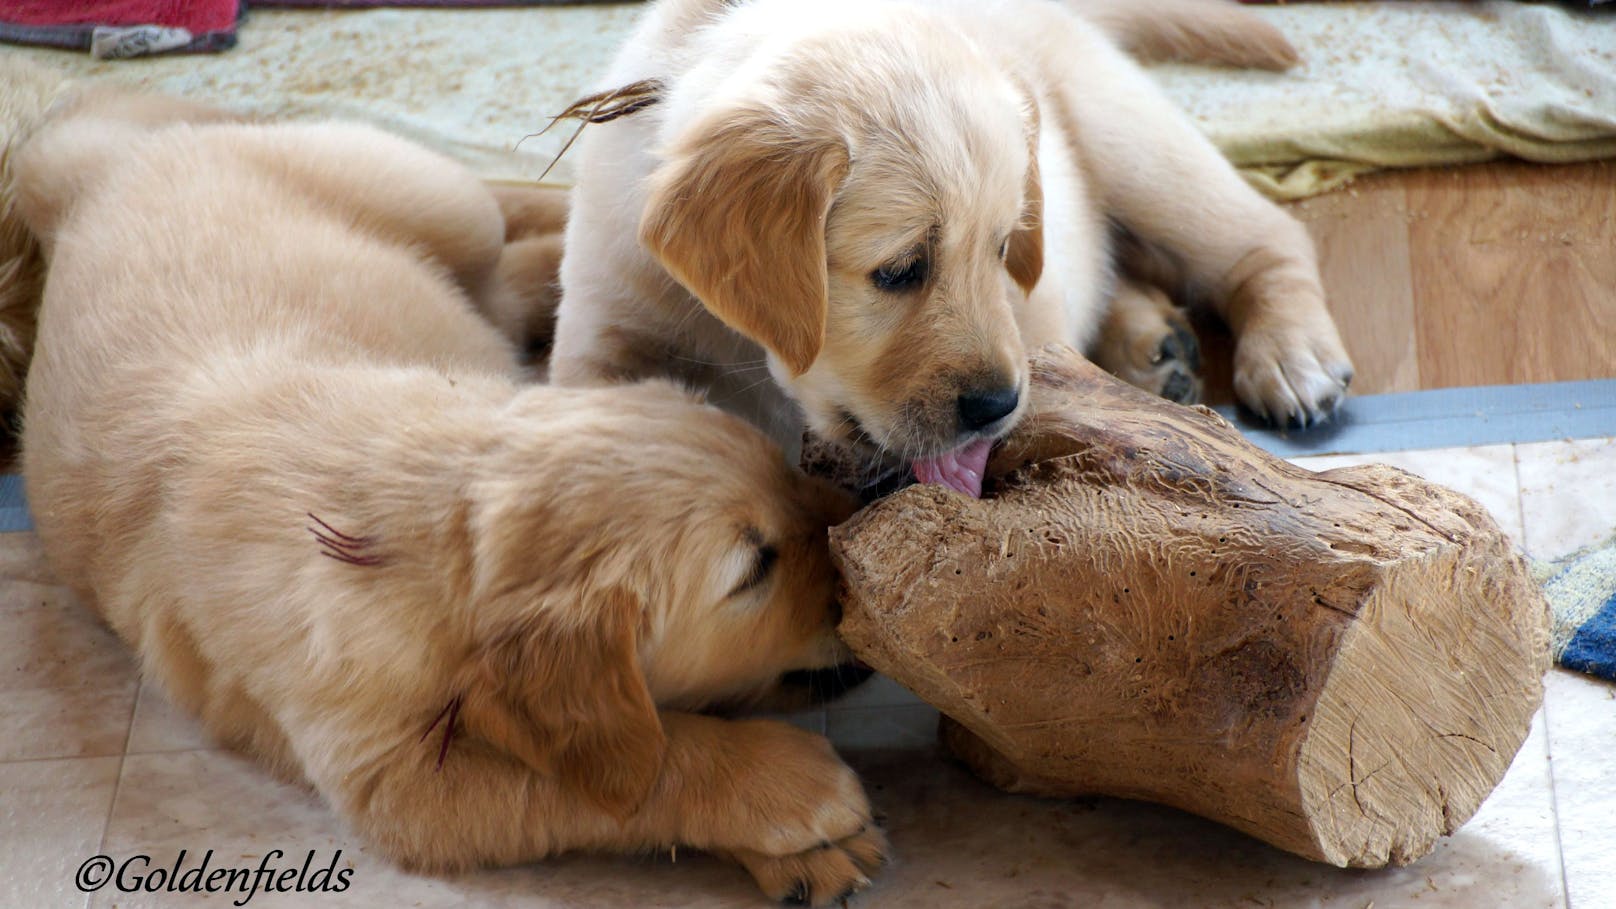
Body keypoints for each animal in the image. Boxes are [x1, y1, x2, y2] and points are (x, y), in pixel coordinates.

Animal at [15, 90, 885, 899]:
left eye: (781, 467)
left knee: (501, 210)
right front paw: (793, 798)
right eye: (754, 567)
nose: (861, 532)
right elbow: (627, 769)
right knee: (509, 276)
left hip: (430, 199)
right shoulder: (396, 780)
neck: (420, 514)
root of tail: (100, 170)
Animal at [552, 0, 1350, 494]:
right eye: (900, 270)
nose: (999, 403)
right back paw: (1153, 345)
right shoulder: (605, 310)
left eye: (1002, 249)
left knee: (1266, 237)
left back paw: (1291, 354)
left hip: (1135, 146)